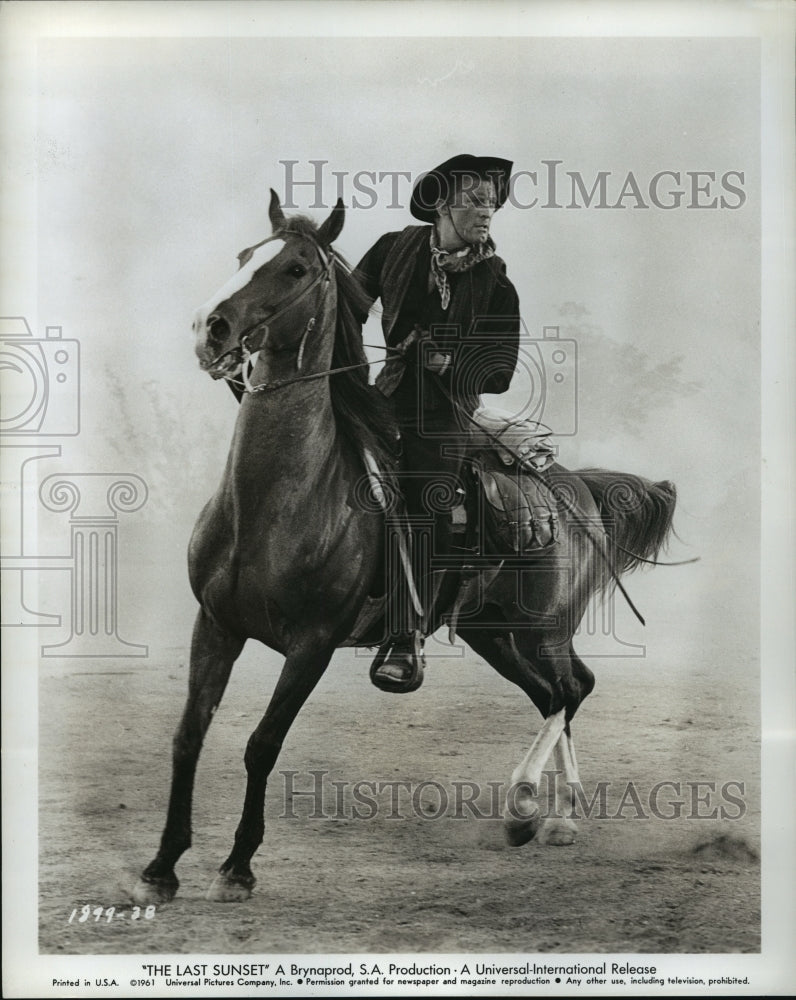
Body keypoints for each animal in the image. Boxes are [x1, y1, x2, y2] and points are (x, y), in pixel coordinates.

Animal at [132, 191, 676, 904]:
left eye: (296, 268)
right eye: (245, 254)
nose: (210, 328)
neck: (278, 504)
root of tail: (574, 488)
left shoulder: (313, 644)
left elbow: (262, 743)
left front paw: (238, 867)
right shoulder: (216, 624)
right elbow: (188, 736)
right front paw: (161, 867)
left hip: (543, 628)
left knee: (569, 689)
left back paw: (528, 805)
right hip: (491, 632)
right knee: (557, 693)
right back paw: (559, 815)